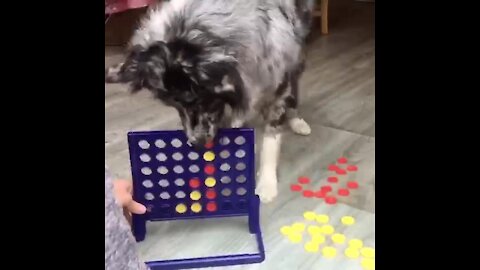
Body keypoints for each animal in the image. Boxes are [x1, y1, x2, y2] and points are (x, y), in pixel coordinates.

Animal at [105, 0, 316, 202]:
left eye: (198, 100)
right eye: (174, 105)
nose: (195, 144)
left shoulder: (276, 78)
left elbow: (270, 142)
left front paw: (266, 184)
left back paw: (296, 120)